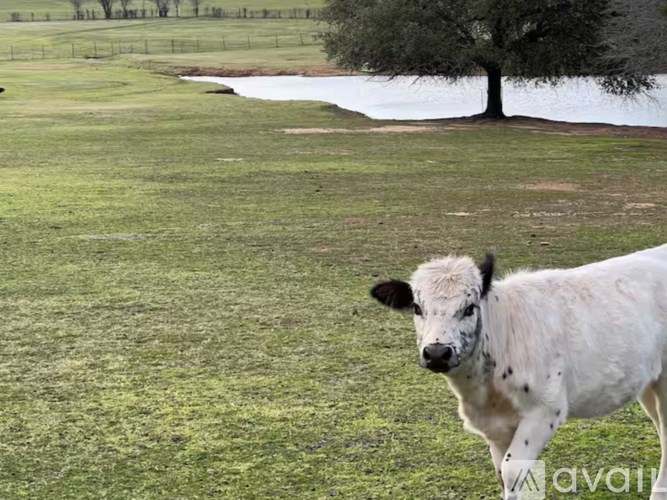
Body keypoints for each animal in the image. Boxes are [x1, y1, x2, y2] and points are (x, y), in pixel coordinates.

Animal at [371, 245, 667, 499]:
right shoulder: (495, 425)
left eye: (469, 308)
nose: (436, 353)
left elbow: (513, 471)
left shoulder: (545, 411)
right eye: (417, 307)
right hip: (648, 382)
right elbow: (502, 474)